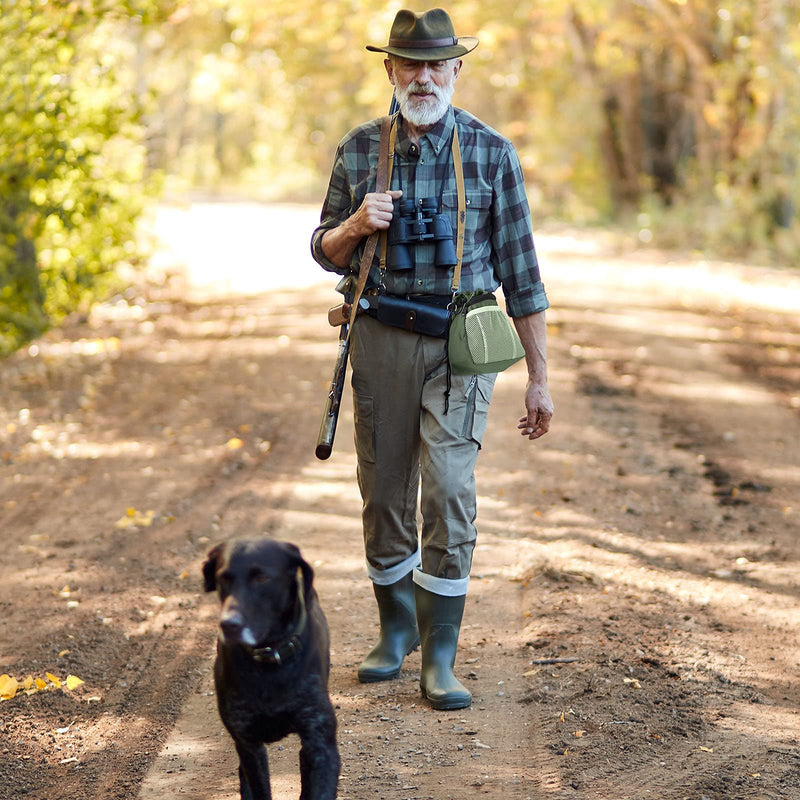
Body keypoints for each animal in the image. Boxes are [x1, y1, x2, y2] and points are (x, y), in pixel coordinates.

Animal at [203, 536, 340, 800]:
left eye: (262, 578)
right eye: (223, 578)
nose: (229, 624)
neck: (270, 657)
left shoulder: (321, 743)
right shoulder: (248, 744)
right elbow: (258, 787)